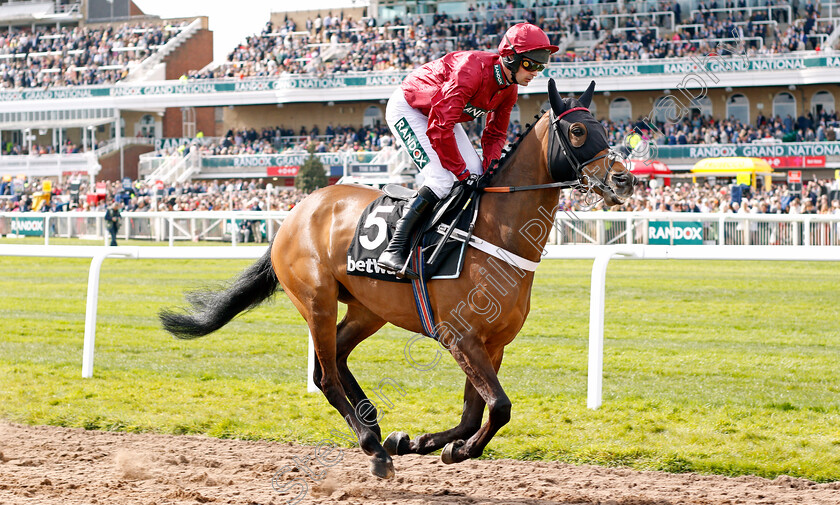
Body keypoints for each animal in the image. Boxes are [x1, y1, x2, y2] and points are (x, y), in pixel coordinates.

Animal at [158, 78, 632, 476]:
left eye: (603, 128)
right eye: (577, 131)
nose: (625, 179)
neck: (494, 231)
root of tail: (296, 212)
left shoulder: (492, 344)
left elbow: (474, 413)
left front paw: (426, 442)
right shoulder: (459, 336)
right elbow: (499, 406)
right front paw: (443, 447)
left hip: (368, 310)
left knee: (336, 360)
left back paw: (377, 428)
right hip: (316, 300)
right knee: (325, 376)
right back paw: (372, 446)